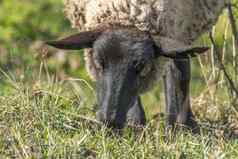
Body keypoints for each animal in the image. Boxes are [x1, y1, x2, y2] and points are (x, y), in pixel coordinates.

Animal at [47, 0, 227, 132]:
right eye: (98, 62)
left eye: (142, 66)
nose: (109, 121)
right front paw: (136, 124)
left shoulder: (180, 29)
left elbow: (180, 74)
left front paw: (182, 127)